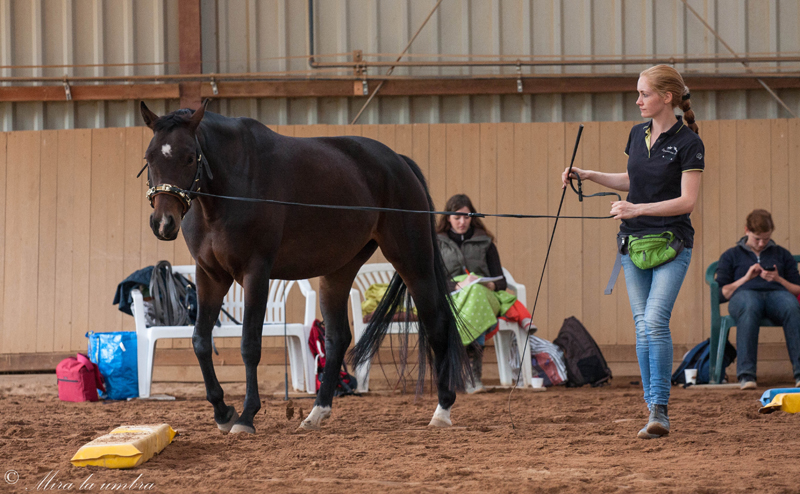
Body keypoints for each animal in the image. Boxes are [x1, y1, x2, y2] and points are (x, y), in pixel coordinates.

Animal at [138, 100, 468, 432]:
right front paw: (222, 411)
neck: (231, 188)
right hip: (339, 270)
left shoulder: (256, 273)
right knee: (337, 338)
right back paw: (316, 412)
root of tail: (399, 162)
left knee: (437, 324)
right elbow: (200, 342)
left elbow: (250, 345)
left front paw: (246, 416)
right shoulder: (210, 276)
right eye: (149, 157)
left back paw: (442, 410)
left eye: (189, 157)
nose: (163, 223)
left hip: (413, 261)